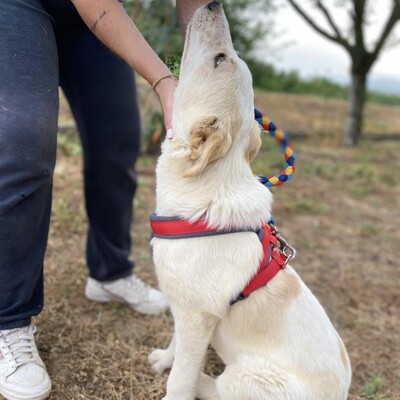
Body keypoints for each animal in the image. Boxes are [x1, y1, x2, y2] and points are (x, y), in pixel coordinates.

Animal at [148, 1, 352, 398]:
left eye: (219, 59)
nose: (214, 4)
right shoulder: (184, 311)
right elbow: (175, 346)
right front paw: (164, 359)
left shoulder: (197, 318)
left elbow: (179, 378)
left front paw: (176, 380)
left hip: (245, 378)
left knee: (217, 385)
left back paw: (203, 379)